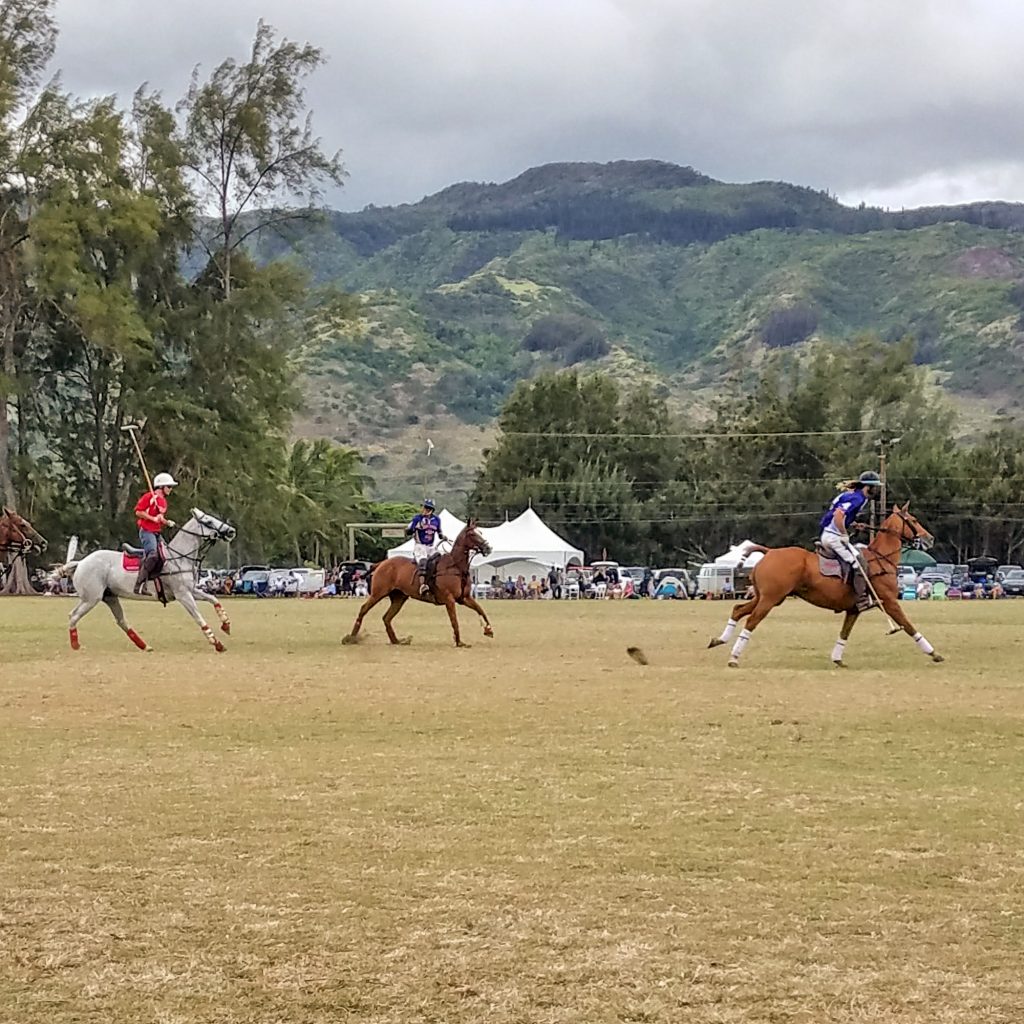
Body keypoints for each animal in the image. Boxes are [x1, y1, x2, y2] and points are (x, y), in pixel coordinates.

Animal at [55, 505, 236, 655]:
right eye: (208, 521)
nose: (231, 531)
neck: (179, 556)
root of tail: (80, 563)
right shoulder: (183, 594)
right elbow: (198, 617)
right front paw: (217, 643)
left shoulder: (191, 590)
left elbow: (213, 598)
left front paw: (226, 625)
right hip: (92, 598)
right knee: (73, 615)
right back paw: (75, 645)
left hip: (109, 597)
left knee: (121, 621)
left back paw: (145, 646)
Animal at [344, 520, 495, 647]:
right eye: (472, 534)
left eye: (481, 532)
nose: (488, 548)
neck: (456, 566)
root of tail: (381, 563)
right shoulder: (449, 599)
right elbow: (454, 621)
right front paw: (459, 642)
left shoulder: (464, 598)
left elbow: (481, 610)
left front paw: (488, 630)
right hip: (378, 593)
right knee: (364, 609)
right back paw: (351, 637)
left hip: (399, 597)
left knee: (386, 617)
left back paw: (397, 640)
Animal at [712, 505, 942, 667]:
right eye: (913, 520)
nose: (930, 538)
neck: (881, 558)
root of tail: (769, 552)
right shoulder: (889, 602)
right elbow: (909, 626)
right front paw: (934, 653)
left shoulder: (854, 609)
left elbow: (844, 633)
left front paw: (837, 658)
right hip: (770, 599)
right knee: (751, 620)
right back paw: (733, 657)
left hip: (766, 596)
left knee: (738, 609)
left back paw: (719, 640)